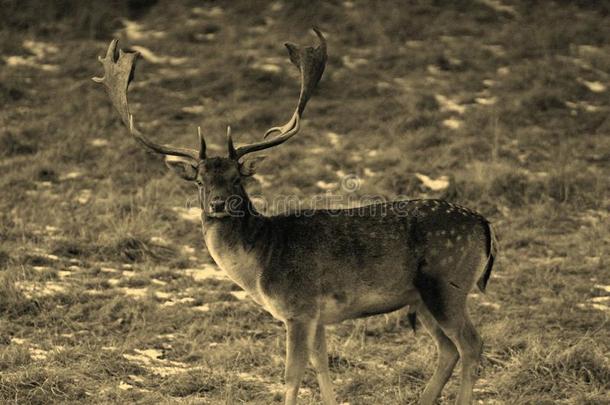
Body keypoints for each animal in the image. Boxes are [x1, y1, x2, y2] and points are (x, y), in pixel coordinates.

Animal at [94, 28, 494, 404]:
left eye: (237, 177)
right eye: (200, 181)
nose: (219, 204)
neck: (262, 260)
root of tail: (484, 225)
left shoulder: (298, 306)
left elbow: (291, 375)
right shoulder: (316, 314)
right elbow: (321, 364)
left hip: (446, 282)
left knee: (472, 346)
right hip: (420, 297)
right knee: (448, 350)